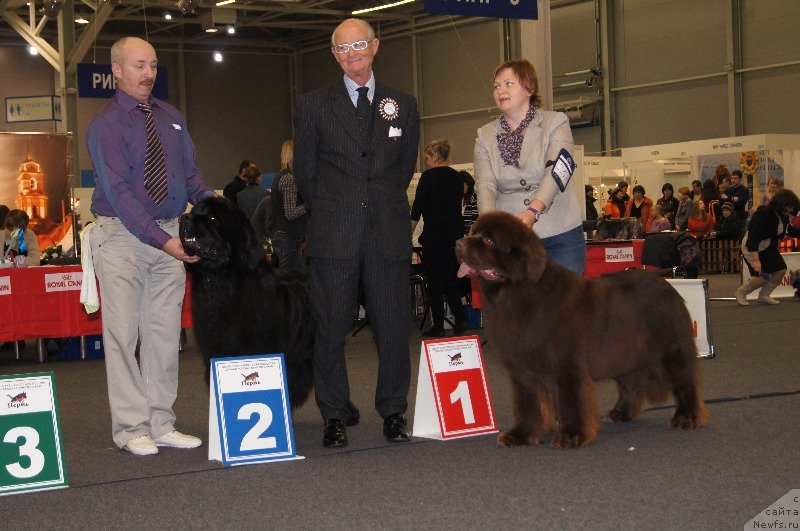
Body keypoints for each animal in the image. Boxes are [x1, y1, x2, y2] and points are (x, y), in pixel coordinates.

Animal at [456, 212, 708, 448]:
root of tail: (667, 284)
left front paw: (571, 436)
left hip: (669, 350)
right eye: (473, 232)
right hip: (624, 353)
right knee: (630, 383)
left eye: (489, 240)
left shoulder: (567, 367)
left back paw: (687, 418)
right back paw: (621, 413)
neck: (517, 294)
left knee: (684, 383)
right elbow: (528, 405)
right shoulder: (524, 372)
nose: (459, 243)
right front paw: (521, 435)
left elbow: (571, 403)